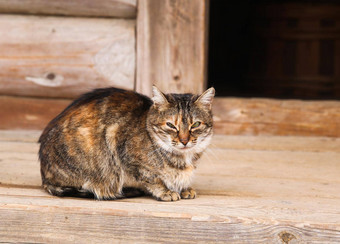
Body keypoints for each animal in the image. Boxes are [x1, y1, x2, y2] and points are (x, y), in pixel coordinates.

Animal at [38, 86, 214, 201]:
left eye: (195, 124)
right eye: (171, 125)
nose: (184, 141)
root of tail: (44, 177)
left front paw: (184, 188)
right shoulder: (124, 152)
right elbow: (153, 178)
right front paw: (165, 191)